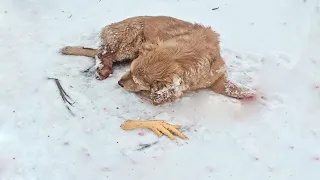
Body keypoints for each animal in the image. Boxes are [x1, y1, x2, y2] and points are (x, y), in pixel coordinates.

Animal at [61, 16, 254, 105]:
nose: (119, 83)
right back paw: (103, 69)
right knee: (103, 54)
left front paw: (246, 93)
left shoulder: (215, 74)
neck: (188, 53)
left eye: (136, 78)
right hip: (129, 41)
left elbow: (225, 86)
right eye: (131, 70)